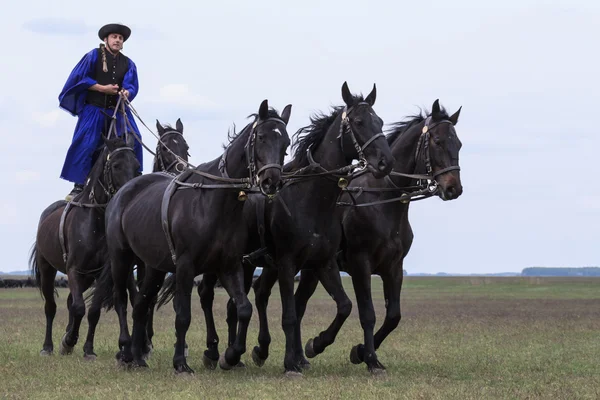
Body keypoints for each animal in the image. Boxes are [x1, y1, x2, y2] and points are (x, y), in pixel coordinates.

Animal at [28, 134, 139, 356]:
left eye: (137, 166)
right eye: (116, 165)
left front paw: (87, 348)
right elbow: (79, 307)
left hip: (87, 277)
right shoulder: (73, 269)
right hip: (48, 270)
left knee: (70, 301)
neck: (95, 221)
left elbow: (92, 310)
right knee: (51, 307)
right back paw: (48, 346)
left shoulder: (102, 272)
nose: (128, 193)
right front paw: (69, 340)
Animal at [95, 98, 292, 374]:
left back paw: (137, 356)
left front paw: (231, 355)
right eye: (262, 137)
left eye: (286, 142)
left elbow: (243, 308)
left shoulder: (229, 266)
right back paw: (125, 351)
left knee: (141, 305)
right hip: (121, 259)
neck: (214, 201)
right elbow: (183, 316)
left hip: (154, 267)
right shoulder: (186, 266)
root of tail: (122, 193)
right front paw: (181, 362)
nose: (271, 180)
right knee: (122, 300)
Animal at [290, 98, 464, 374]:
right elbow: (367, 313)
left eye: (458, 143)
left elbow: (393, 316)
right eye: (437, 141)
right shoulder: (360, 265)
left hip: (313, 269)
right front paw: (370, 359)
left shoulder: (393, 267)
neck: (381, 200)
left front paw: (360, 352)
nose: (453, 188)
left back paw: (302, 356)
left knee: (298, 305)